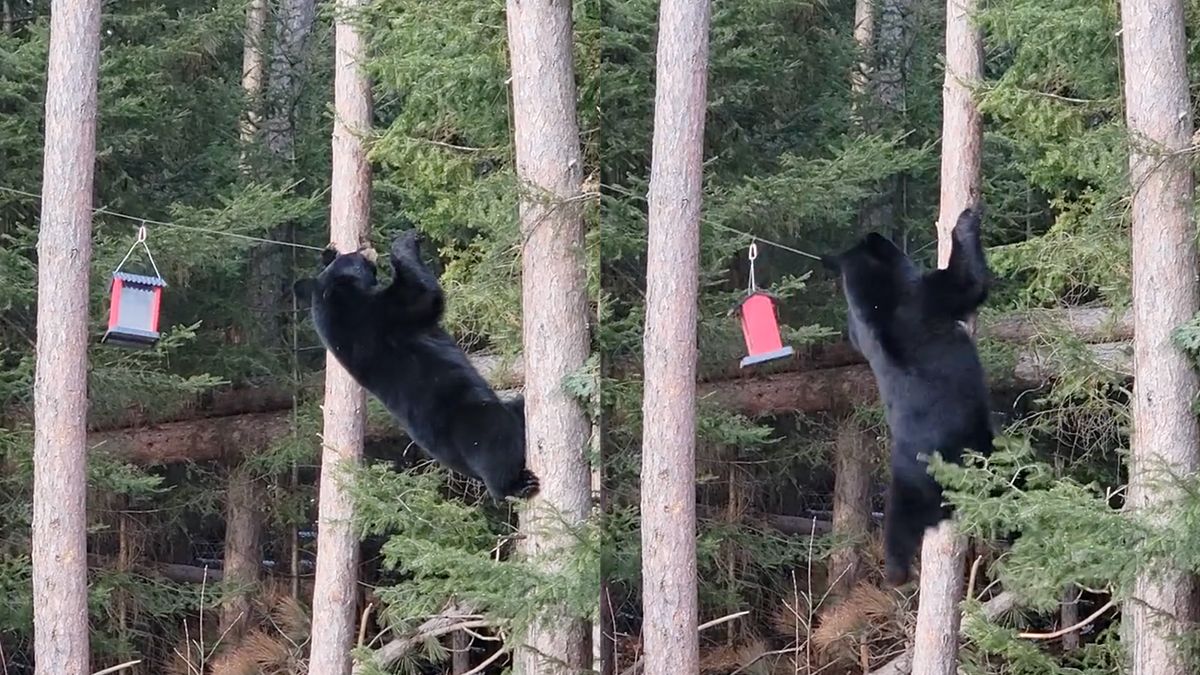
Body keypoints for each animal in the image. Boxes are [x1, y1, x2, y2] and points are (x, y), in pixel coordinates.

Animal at [292, 230, 537, 499]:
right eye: (354, 257)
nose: (364, 247)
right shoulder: (377, 317)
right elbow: (421, 295)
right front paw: (405, 242)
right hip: (473, 422)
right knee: (496, 445)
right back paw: (518, 484)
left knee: (517, 410)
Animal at [825, 206, 993, 583]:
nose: (889, 237)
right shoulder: (923, 299)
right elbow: (966, 283)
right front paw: (965, 220)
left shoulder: (861, 328)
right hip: (971, 443)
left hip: (902, 492)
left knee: (897, 528)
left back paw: (896, 571)